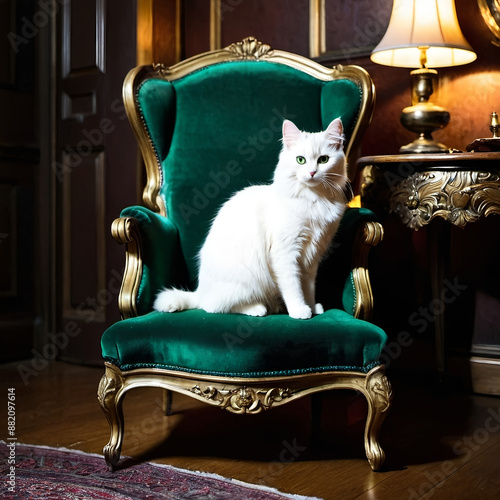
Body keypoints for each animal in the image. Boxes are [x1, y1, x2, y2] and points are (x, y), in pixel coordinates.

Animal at [153, 119, 348, 318]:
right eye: (300, 160)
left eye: (323, 160)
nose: (312, 173)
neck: (315, 199)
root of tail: (200, 291)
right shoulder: (285, 253)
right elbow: (293, 287)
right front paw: (299, 310)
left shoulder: (312, 256)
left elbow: (308, 288)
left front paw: (312, 307)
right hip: (246, 281)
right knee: (214, 306)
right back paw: (257, 308)